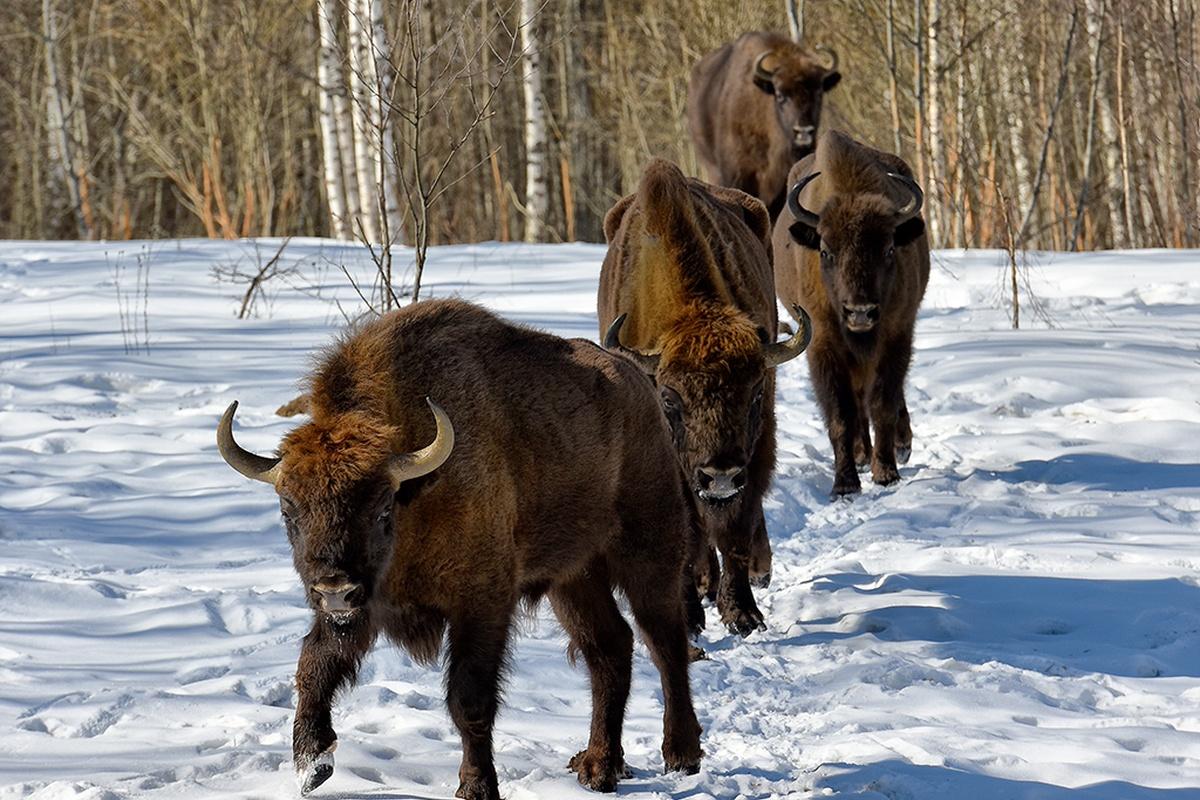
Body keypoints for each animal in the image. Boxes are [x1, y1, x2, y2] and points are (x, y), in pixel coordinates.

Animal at [217, 297, 700, 796]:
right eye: (288, 510)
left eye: (382, 508)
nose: (334, 589)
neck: (419, 490)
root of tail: (636, 379)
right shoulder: (362, 607)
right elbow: (314, 665)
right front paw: (312, 764)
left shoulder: (481, 603)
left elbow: (469, 699)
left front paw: (477, 785)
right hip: (572, 577)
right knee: (609, 645)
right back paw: (599, 765)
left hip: (649, 553)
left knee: (665, 641)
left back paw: (681, 754)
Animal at [600, 158, 816, 638]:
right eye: (668, 399)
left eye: (755, 393)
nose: (720, 476)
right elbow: (687, 528)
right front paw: (688, 614)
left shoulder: (754, 447)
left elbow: (736, 526)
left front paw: (743, 614)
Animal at [772, 130, 931, 501]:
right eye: (826, 251)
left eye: (889, 248)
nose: (860, 313)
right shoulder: (823, 345)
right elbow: (840, 413)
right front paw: (845, 483)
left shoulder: (896, 336)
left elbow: (884, 402)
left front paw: (886, 472)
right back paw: (860, 454)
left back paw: (899, 447)